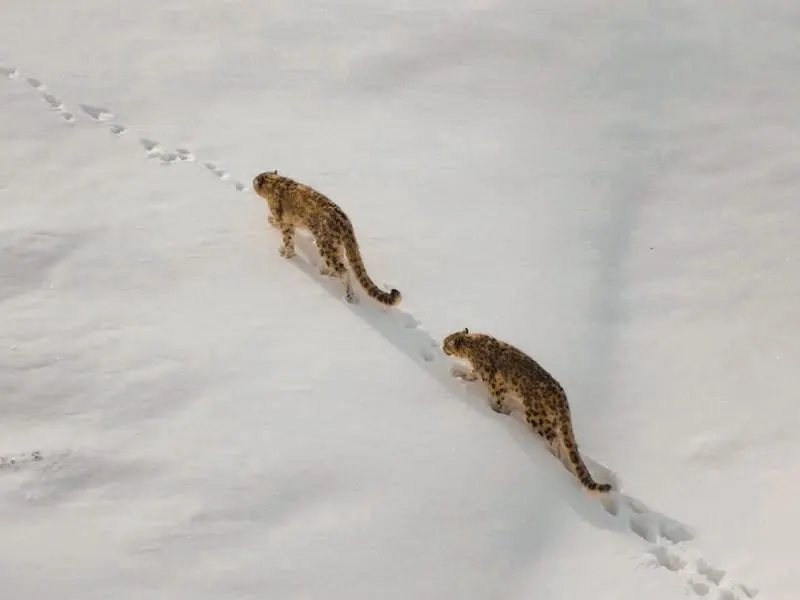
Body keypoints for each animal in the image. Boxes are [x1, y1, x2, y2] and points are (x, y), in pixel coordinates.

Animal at [252, 170, 401, 306]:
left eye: (255, 180)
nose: (252, 181)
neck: (276, 182)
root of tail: (346, 223)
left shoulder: (285, 224)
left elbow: (287, 240)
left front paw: (284, 253)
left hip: (326, 246)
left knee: (343, 270)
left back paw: (348, 295)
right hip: (336, 246)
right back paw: (327, 273)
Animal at [442, 328, 612, 494]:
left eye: (446, 342)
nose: (442, 346)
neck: (473, 346)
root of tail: (561, 398)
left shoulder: (495, 385)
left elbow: (495, 398)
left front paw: (497, 411)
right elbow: (471, 374)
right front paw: (459, 374)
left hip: (535, 417)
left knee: (554, 438)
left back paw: (553, 454)